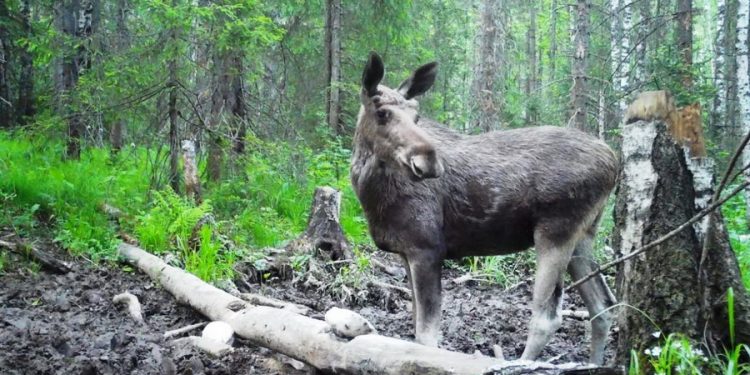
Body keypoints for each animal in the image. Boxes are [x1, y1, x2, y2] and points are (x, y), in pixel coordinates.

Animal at [352, 53, 624, 364]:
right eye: (382, 113)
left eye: (416, 115)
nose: (429, 161)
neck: (372, 197)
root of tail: (614, 162)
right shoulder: (405, 252)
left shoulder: (427, 248)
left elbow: (426, 336)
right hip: (583, 236)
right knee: (603, 305)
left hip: (556, 230)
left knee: (547, 318)